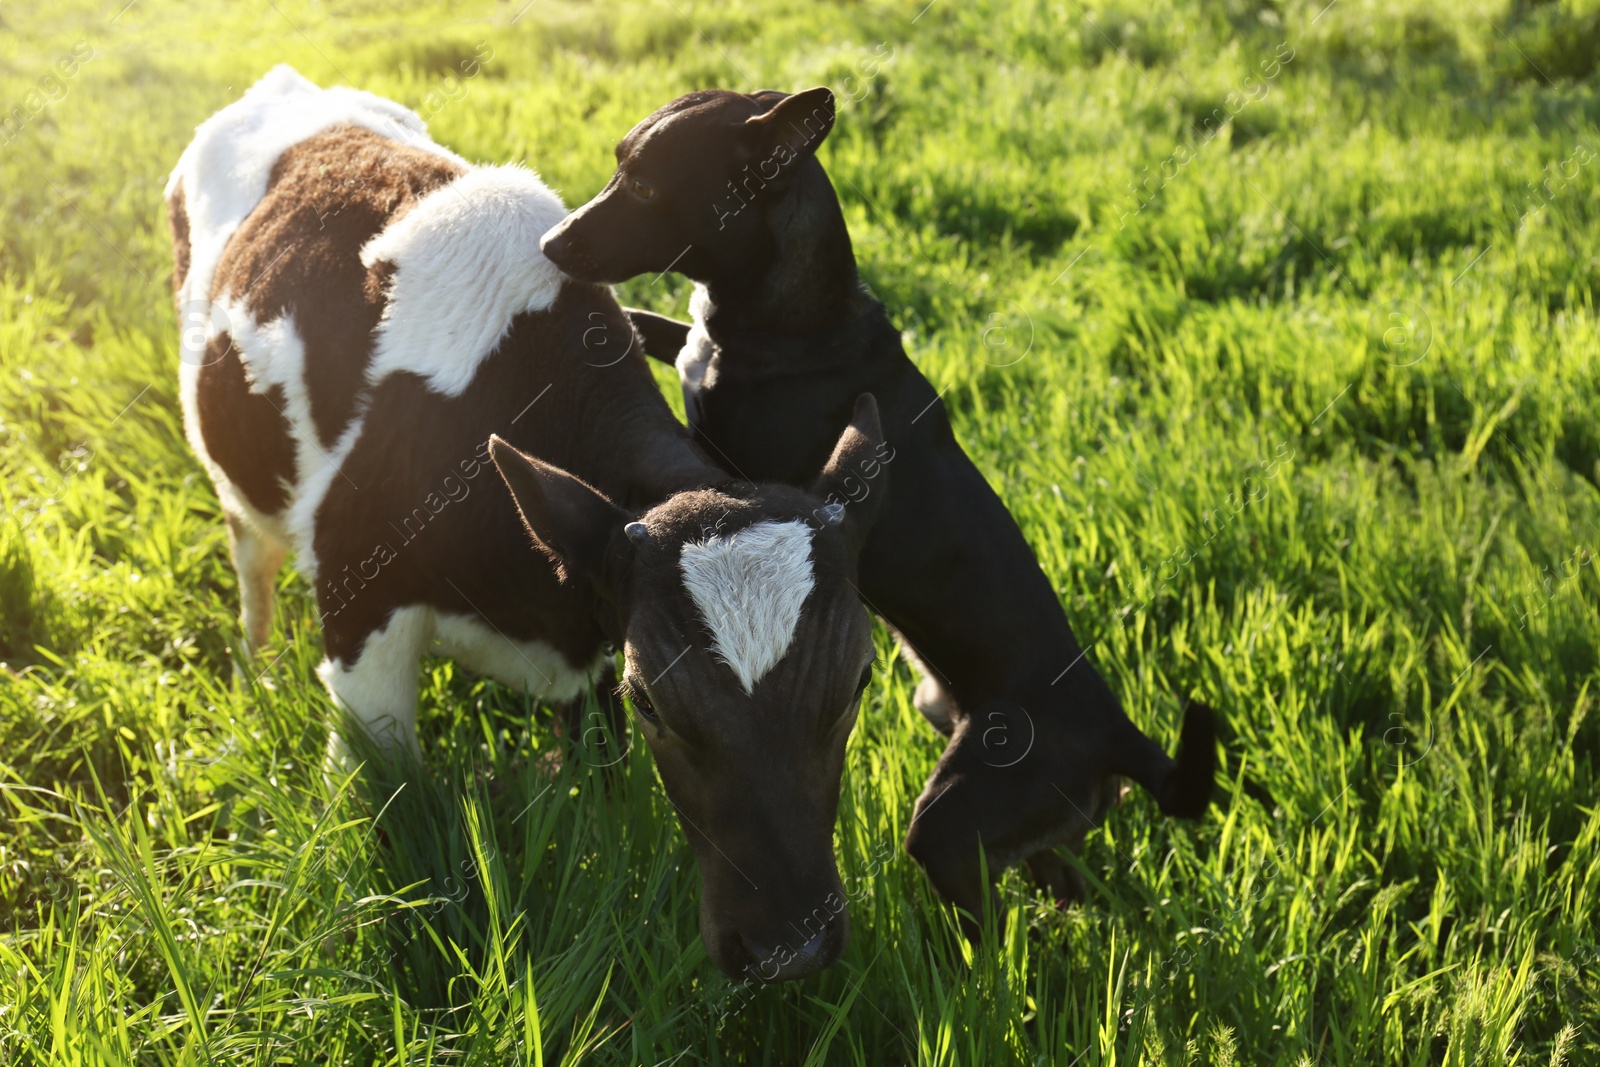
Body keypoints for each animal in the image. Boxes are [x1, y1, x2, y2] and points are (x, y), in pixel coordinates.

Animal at [172, 66, 902, 985]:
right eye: (655, 699)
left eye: (858, 682)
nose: (790, 950)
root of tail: (288, 82)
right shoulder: (360, 621)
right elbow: (385, 807)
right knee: (253, 562)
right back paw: (258, 665)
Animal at [544, 85, 1216, 934]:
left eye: (645, 189)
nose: (550, 245)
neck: (802, 314)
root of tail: (1120, 735)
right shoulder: (694, 352)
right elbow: (656, 328)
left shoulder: (743, 461)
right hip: (984, 763)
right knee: (1059, 869)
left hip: (959, 816)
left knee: (984, 909)